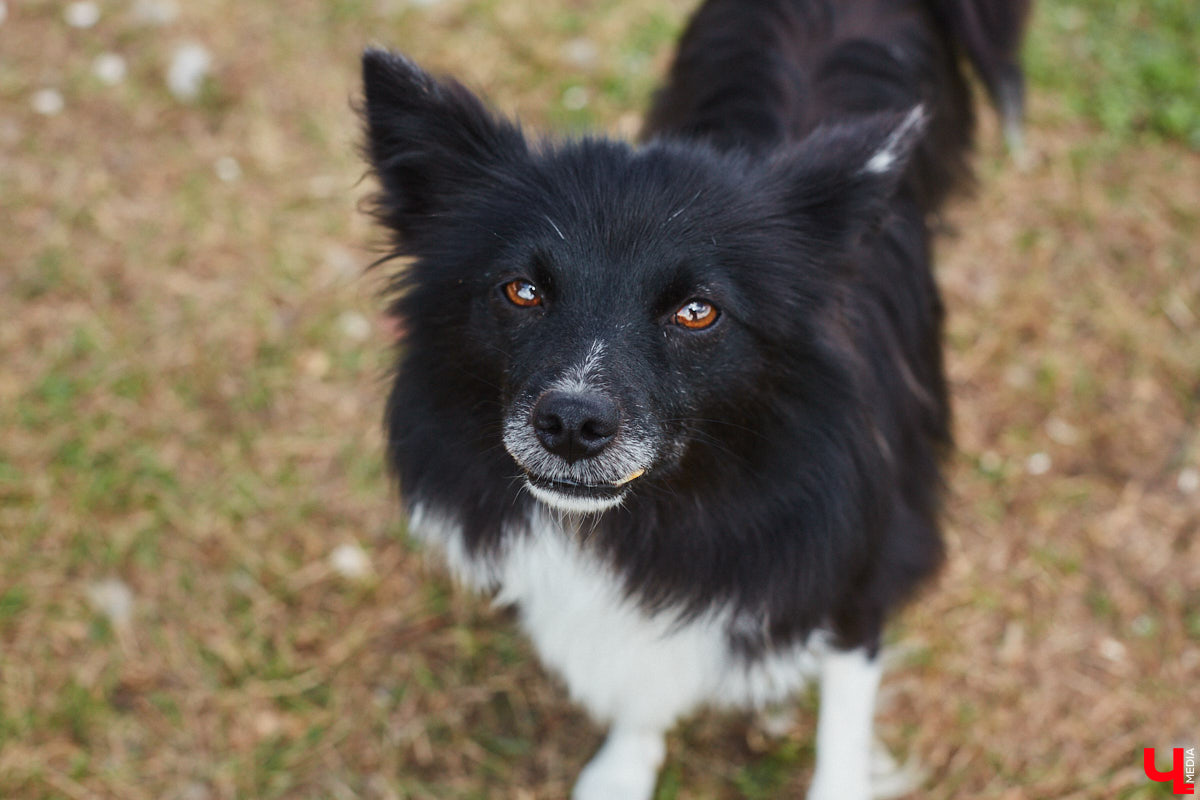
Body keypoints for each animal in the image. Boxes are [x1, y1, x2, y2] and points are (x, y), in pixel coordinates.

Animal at [360, 3, 1027, 796]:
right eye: (521, 291)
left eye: (697, 311)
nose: (572, 423)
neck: (666, 508)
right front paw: (624, 768)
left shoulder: (865, 559)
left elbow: (842, 720)